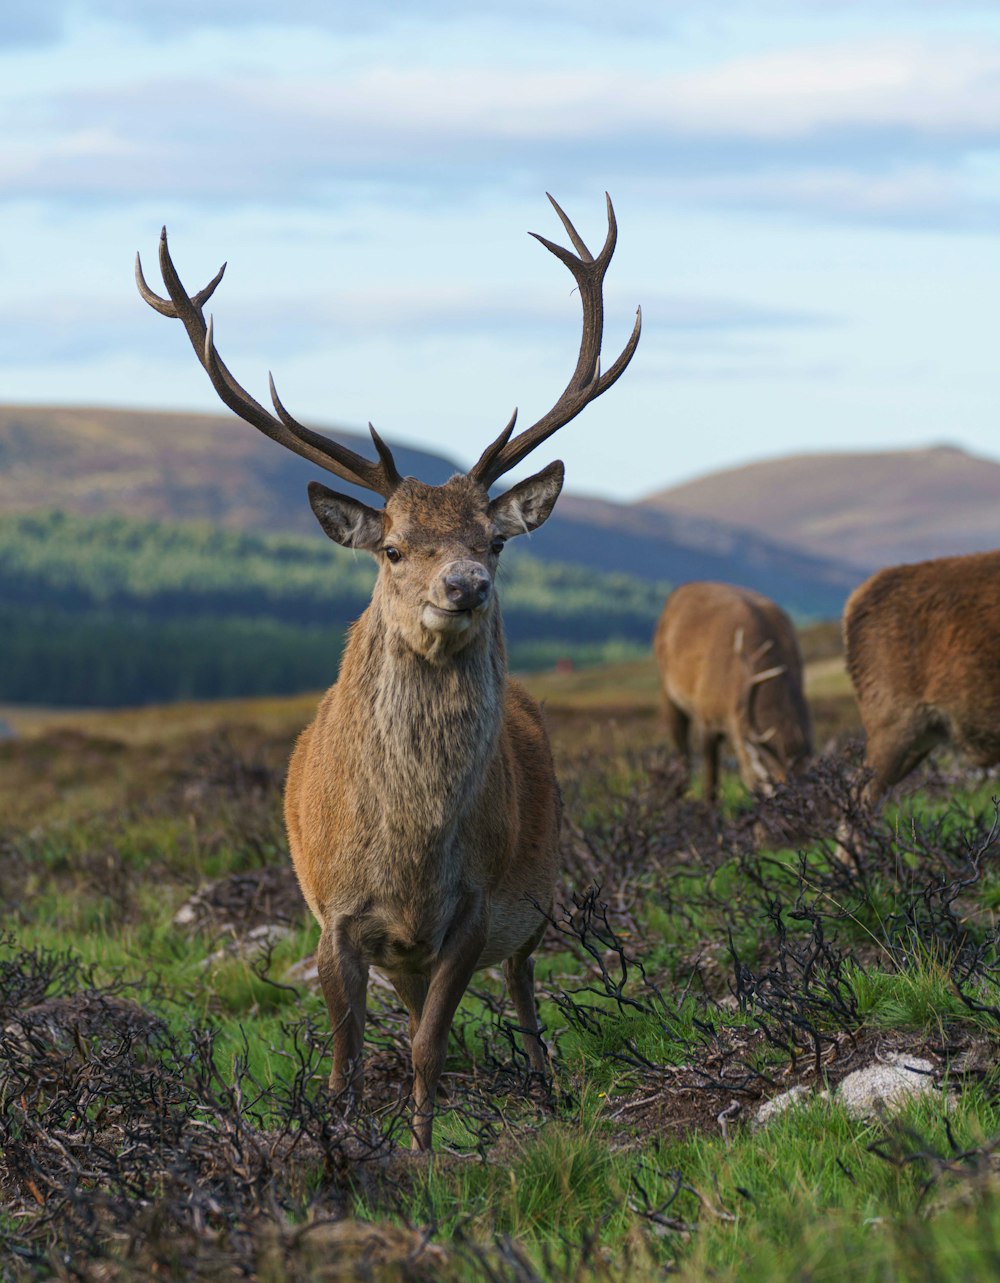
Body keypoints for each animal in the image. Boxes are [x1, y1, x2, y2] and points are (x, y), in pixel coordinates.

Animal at [136, 195, 641, 1149]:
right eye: (396, 547)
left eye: (494, 542)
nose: (465, 585)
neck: (407, 857)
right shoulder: (333, 913)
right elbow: (346, 1062)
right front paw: (341, 1144)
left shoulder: (474, 909)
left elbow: (429, 1053)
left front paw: (423, 1155)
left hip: (538, 902)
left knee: (522, 995)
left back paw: (549, 1094)